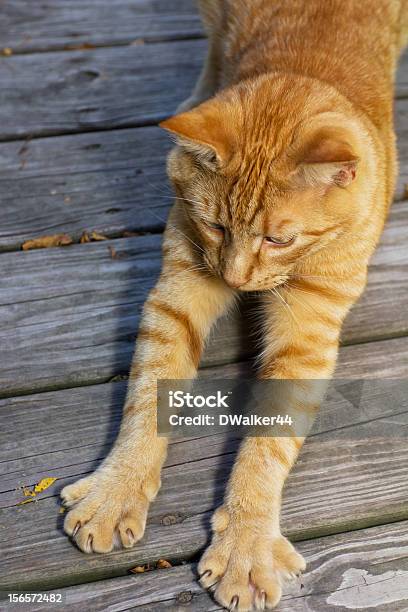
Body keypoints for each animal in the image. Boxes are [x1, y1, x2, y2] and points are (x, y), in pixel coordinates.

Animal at [60, 2, 408, 608]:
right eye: (217, 226)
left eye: (278, 239)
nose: (235, 278)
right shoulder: (180, 293)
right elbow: (147, 394)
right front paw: (118, 488)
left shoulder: (307, 334)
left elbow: (267, 446)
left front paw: (246, 542)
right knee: (213, 49)